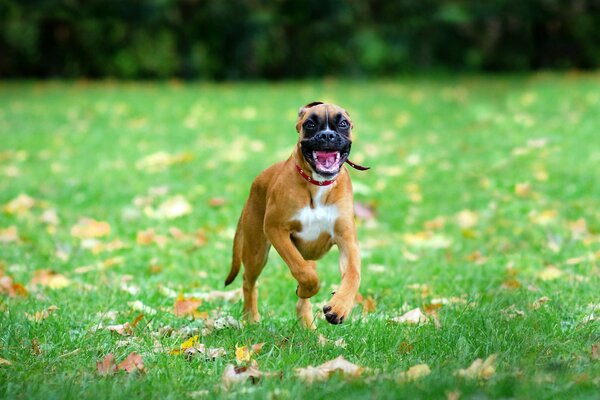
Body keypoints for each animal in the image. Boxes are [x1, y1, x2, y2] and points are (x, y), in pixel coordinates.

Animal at [224, 102, 368, 328]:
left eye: (343, 123)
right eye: (310, 124)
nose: (327, 135)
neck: (318, 184)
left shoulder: (347, 240)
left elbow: (353, 274)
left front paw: (339, 307)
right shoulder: (276, 229)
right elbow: (303, 272)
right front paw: (307, 288)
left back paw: (308, 326)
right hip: (256, 250)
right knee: (249, 282)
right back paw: (251, 318)